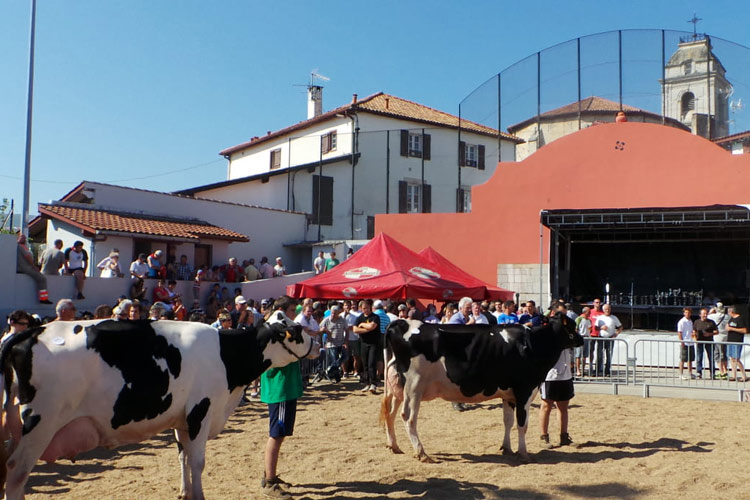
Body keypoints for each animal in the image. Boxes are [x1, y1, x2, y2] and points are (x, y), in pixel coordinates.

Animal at [0, 316, 316, 500]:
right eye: (298, 330)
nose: (316, 342)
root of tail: (32, 332)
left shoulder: (181, 419)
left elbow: (183, 457)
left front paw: (184, 493)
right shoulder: (201, 412)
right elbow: (198, 461)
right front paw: (198, 495)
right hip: (40, 424)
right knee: (16, 472)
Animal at [382, 314, 580, 462]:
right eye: (571, 326)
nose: (581, 340)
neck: (532, 344)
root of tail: (400, 322)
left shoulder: (508, 394)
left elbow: (507, 421)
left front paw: (506, 448)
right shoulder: (525, 391)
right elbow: (522, 424)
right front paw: (524, 453)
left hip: (397, 388)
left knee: (389, 413)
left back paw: (394, 446)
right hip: (414, 386)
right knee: (408, 417)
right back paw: (421, 453)